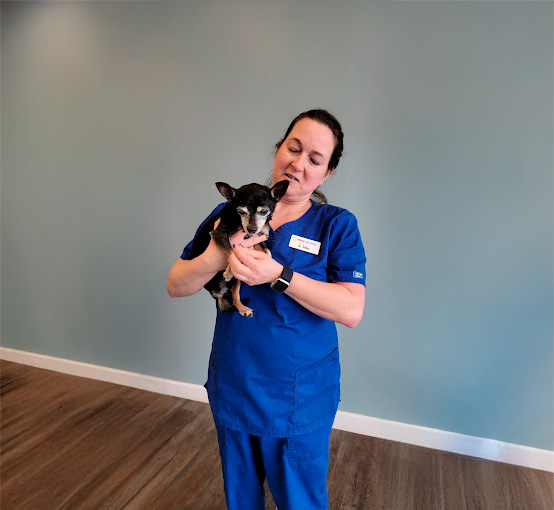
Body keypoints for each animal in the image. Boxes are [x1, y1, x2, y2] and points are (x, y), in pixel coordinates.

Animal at [191, 179, 288, 314]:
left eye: (263, 212)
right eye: (241, 212)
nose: (251, 229)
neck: (238, 221)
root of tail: (216, 294)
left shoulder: (258, 237)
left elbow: (267, 252)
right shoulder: (218, 234)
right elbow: (232, 251)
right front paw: (228, 272)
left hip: (238, 280)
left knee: (235, 298)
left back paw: (243, 309)